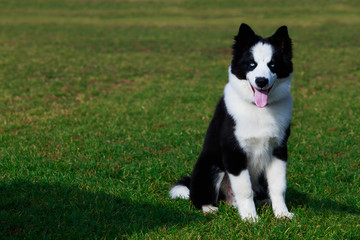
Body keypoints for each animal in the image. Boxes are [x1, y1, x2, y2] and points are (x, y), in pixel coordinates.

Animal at [170, 23, 294, 220]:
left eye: (273, 65)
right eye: (251, 64)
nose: (261, 81)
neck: (259, 109)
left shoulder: (278, 150)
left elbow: (278, 186)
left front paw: (282, 214)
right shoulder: (234, 152)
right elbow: (245, 189)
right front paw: (250, 218)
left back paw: (262, 202)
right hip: (211, 167)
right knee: (199, 198)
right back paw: (209, 208)